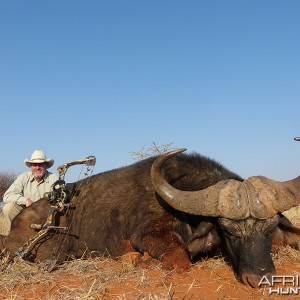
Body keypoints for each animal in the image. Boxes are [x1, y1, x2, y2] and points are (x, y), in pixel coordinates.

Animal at [0, 149, 300, 288]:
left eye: (270, 228)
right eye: (229, 231)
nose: (260, 278)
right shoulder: (146, 235)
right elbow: (180, 260)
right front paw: (138, 261)